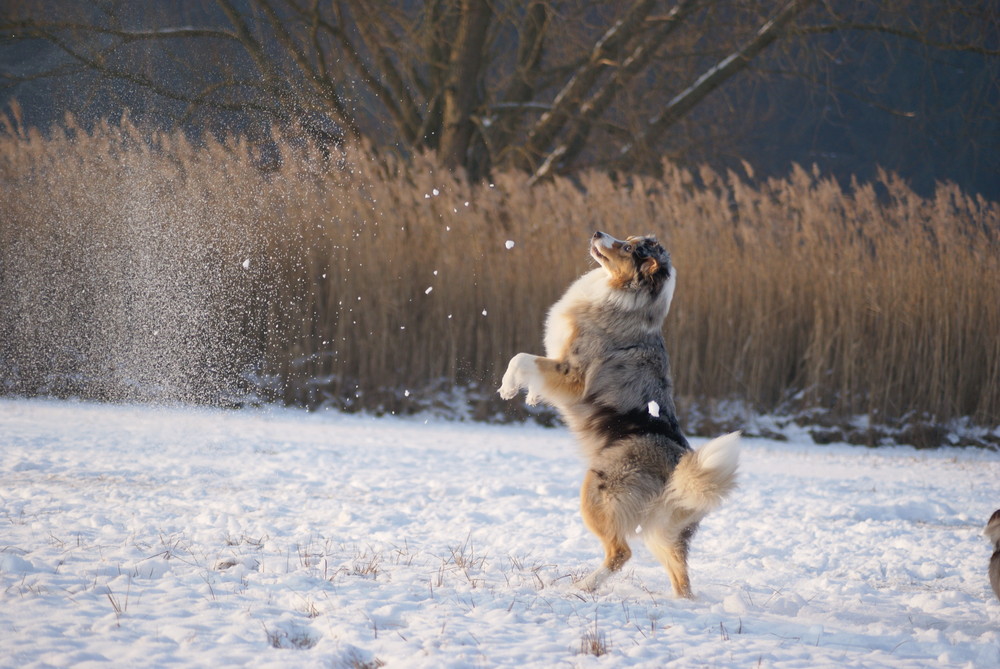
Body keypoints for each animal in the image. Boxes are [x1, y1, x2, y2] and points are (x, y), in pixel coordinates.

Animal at [500, 232, 744, 596]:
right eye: (629, 238)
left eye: (628, 249)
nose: (597, 233)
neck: (628, 300)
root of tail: (678, 469)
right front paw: (530, 395)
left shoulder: (572, 374)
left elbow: (521, 358)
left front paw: (508, 387)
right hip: (663, 533)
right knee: (682, 578)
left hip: (598, 495)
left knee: (621, 552)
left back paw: (583, 586)